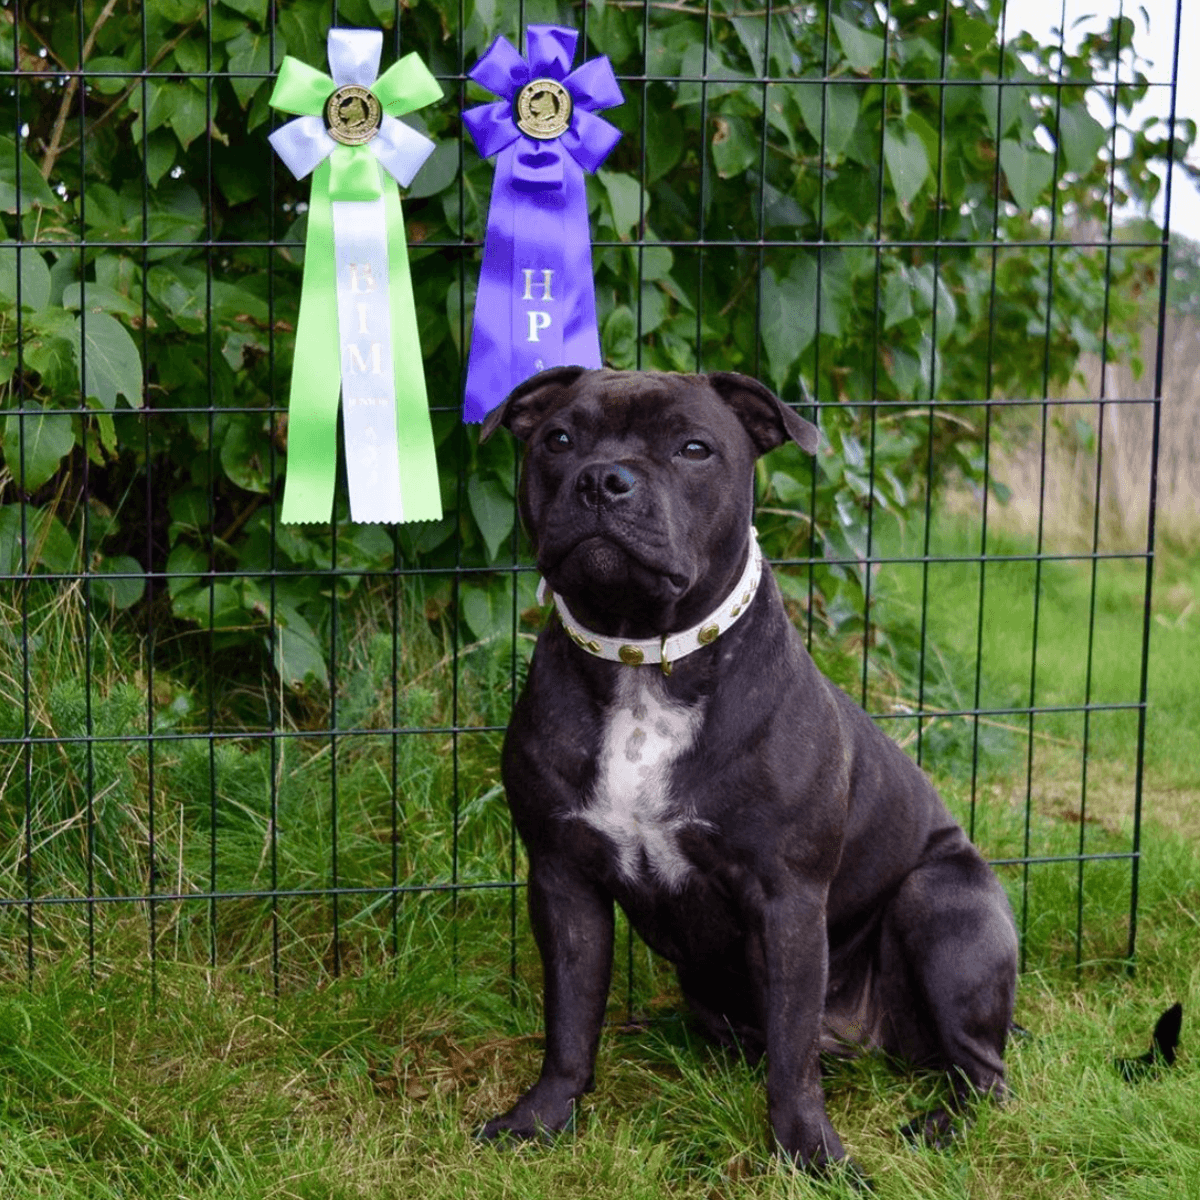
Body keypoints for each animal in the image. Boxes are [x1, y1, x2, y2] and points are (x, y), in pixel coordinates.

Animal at [475, 367, 1012, 1171]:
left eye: (695, 449)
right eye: (558, 439)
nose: (603, 479)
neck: (642, 658)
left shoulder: (786, 897)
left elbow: (793, 1057)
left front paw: (813, 1157)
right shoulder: (563, 879)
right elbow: (568, 1020)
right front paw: (539, 1120)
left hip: (943, 904)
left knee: (982, 1072)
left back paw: (941, 1127)